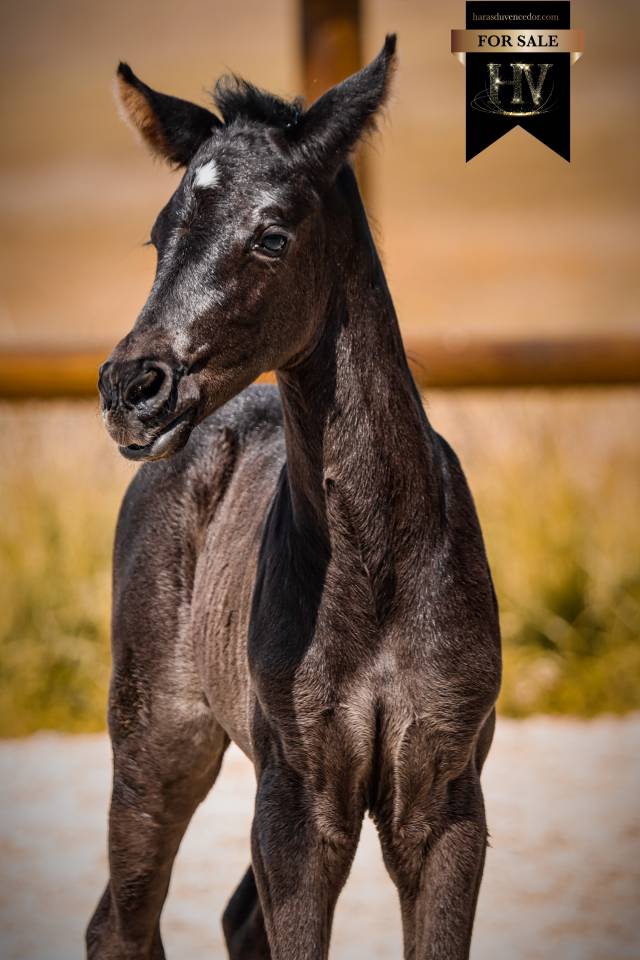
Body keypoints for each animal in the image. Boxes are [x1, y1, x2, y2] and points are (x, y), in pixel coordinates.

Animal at [88, 35, 501, 960]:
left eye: (272, 235)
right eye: (159, 235)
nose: (133, 388)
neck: (381, 562)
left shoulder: (445, 800)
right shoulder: (299, 802)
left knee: (231, 918)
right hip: (157, 743)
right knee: (123, 922)